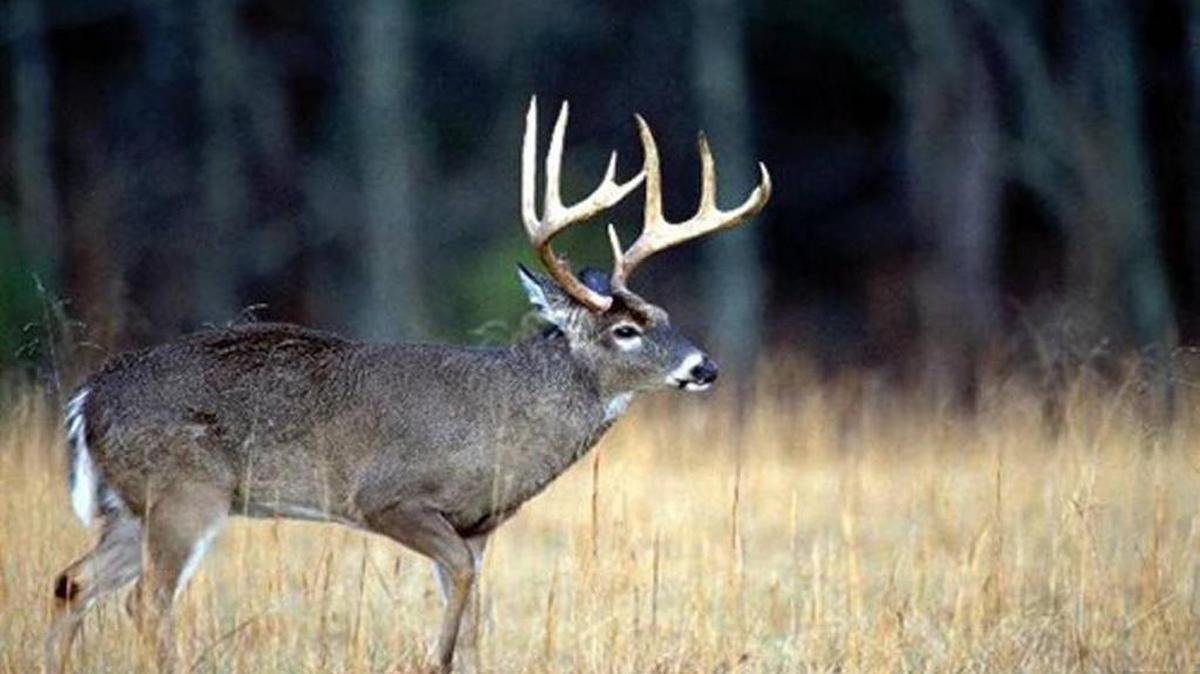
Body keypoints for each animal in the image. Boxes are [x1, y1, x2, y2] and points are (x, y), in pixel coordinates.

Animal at [44, 97, 770, 674]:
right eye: (625, 329)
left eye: (665, 316)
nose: (704, 367)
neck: (507, 419)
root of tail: (87, 400)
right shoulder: (390, 498)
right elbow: (458, 603)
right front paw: (431, 660)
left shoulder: (478, 525)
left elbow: (473, 622)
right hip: (184, 492)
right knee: (145, 603)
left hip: (130, 506)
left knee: (71, 583)